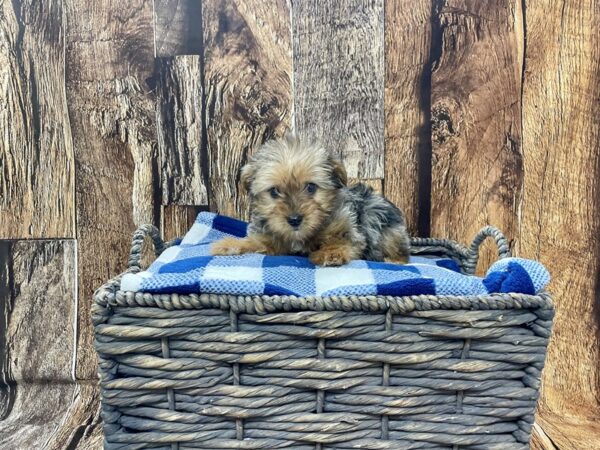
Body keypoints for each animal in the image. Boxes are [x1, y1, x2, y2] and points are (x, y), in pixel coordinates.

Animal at [209, 135, 410, 266]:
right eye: (274, 192)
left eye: (311, 187)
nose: (294, 220)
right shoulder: (273, 238)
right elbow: (257, 243)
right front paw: (231, 245)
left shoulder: (349, 228)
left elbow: (344, 240)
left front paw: (330, 253)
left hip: (382, 223)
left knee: (400, 253)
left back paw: (393, 260)